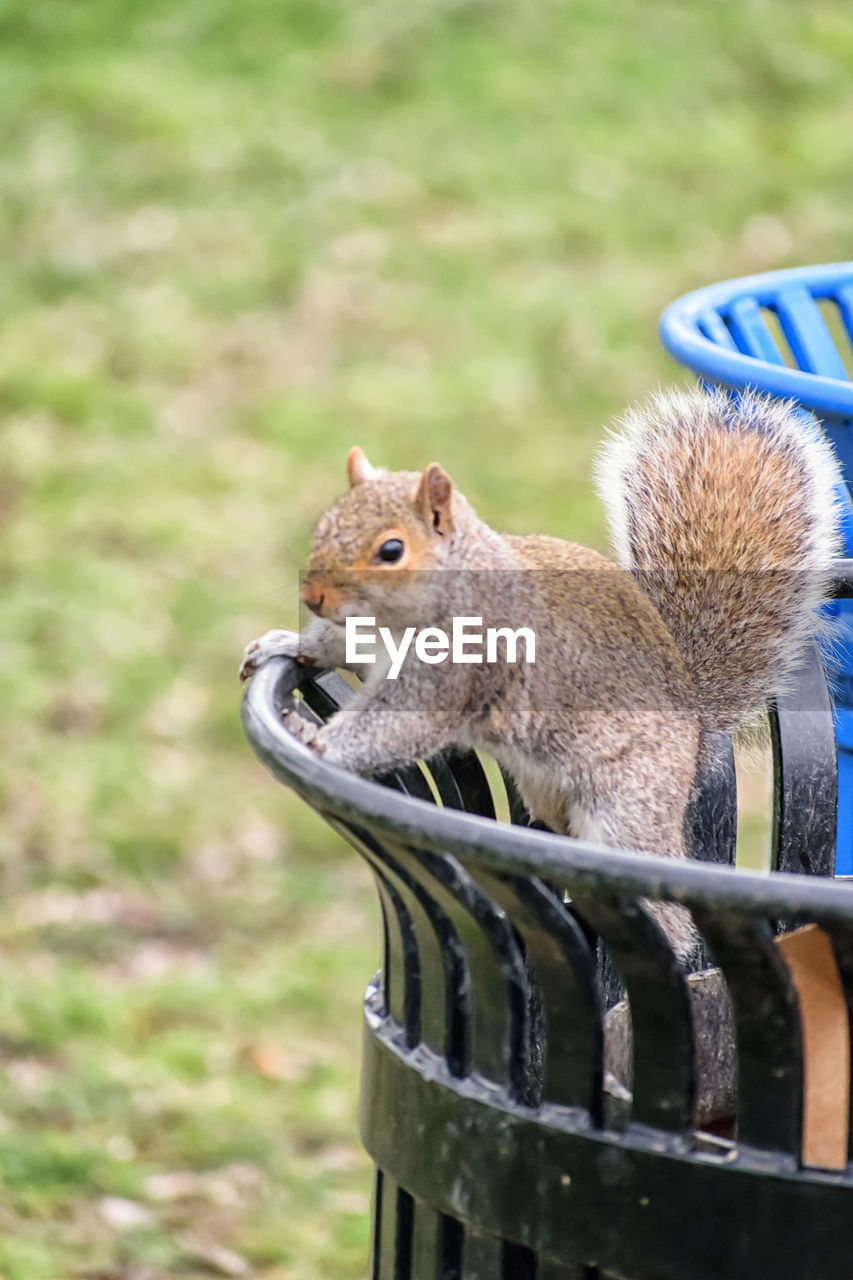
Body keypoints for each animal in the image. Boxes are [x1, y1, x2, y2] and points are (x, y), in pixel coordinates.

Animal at [240, 386, 842, 958]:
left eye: (391, 550)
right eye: (324, 525)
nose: (313, 596)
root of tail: (693, 735)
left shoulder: (459, 666)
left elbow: (397, 725)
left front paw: (315, 741)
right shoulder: (358, 634)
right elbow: (331, 644)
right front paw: (285, 642)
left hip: (626, 803)